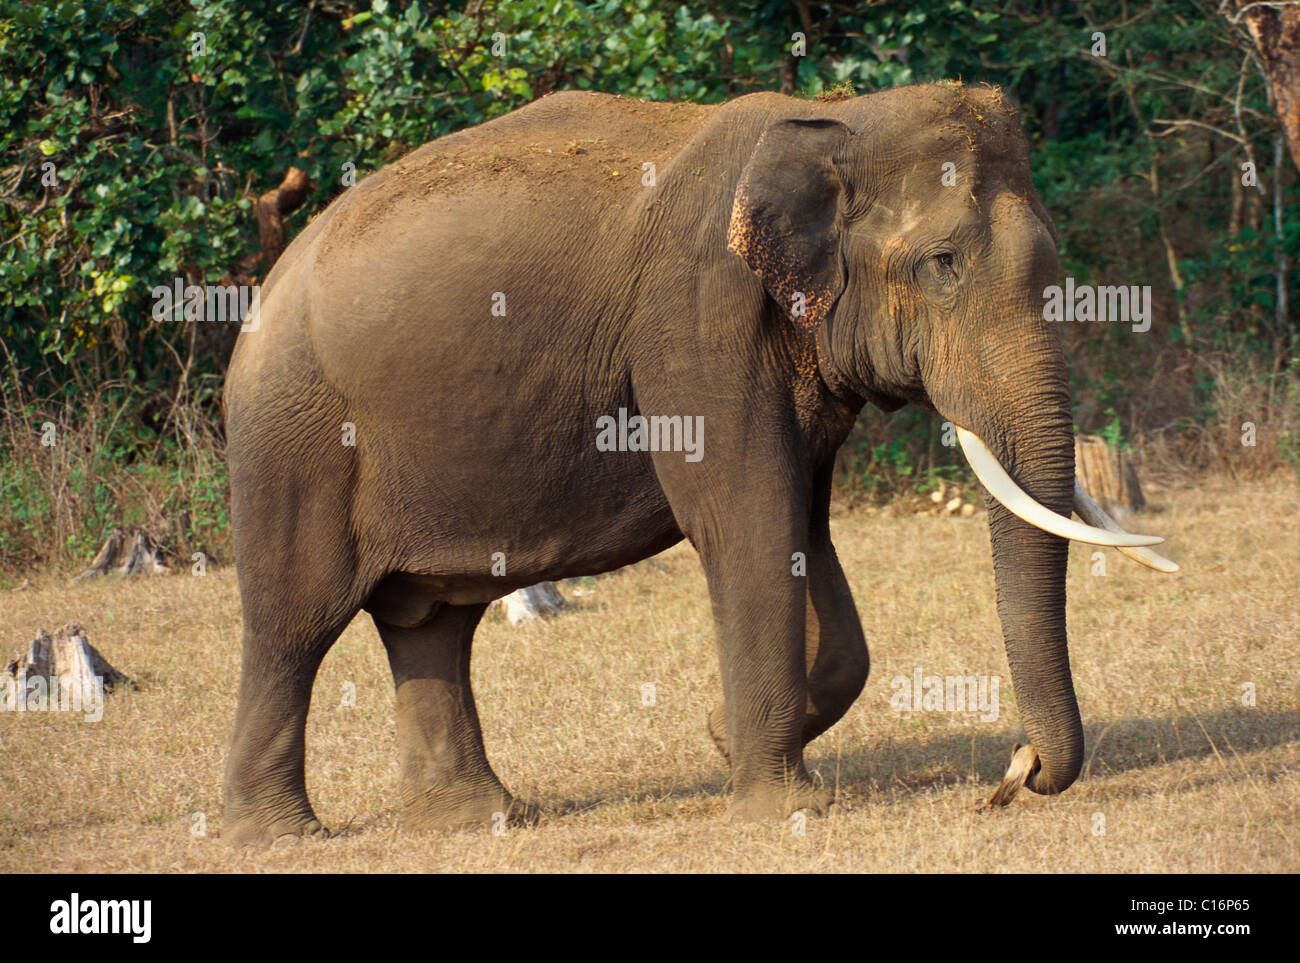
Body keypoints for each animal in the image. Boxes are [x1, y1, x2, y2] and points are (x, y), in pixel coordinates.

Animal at [223, 86, 1180, 847]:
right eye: (942, 264)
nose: (1017, 769)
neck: (838, 115)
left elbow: (804, 527)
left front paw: (723, 738)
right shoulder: (696, 320)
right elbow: (744, 518)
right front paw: (783, 806)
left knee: (432, 621)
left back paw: (479, 819)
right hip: (295, 438)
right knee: (295, 622)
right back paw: (282, 836)